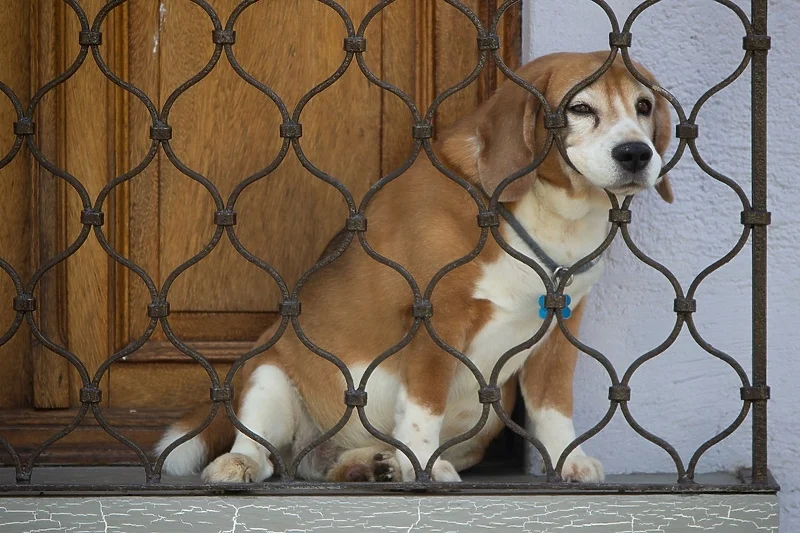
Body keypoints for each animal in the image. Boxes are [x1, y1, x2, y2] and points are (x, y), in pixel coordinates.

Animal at [159, 52, 672, 484]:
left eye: (644, 105)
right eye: (580, 108)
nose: (636, 153)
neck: (547, 214)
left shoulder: (563, 326)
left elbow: (554, 405)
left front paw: (568, 459)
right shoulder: (435, 317)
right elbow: (425, 403)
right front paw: (424, 464)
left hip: (486, 417)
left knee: (320, 467)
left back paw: (369, 464)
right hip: (269, 375)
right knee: (263, 453)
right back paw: (242, 463)